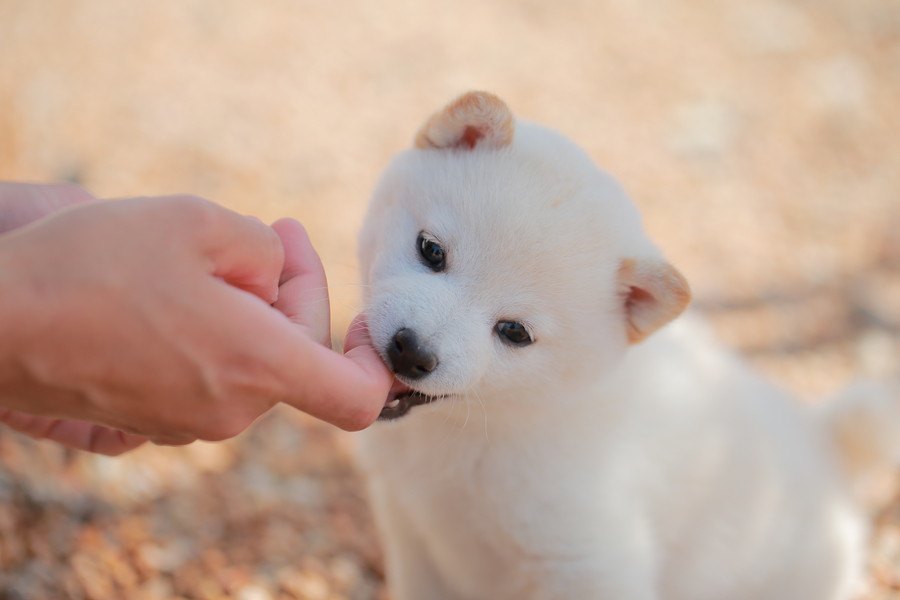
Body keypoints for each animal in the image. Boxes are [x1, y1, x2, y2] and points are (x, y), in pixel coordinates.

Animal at [356, 91, 896, 596]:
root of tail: (825, 439)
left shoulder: (588, 563)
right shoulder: (410, 530)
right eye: (431, 250)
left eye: (514, 332)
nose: (413, 350)